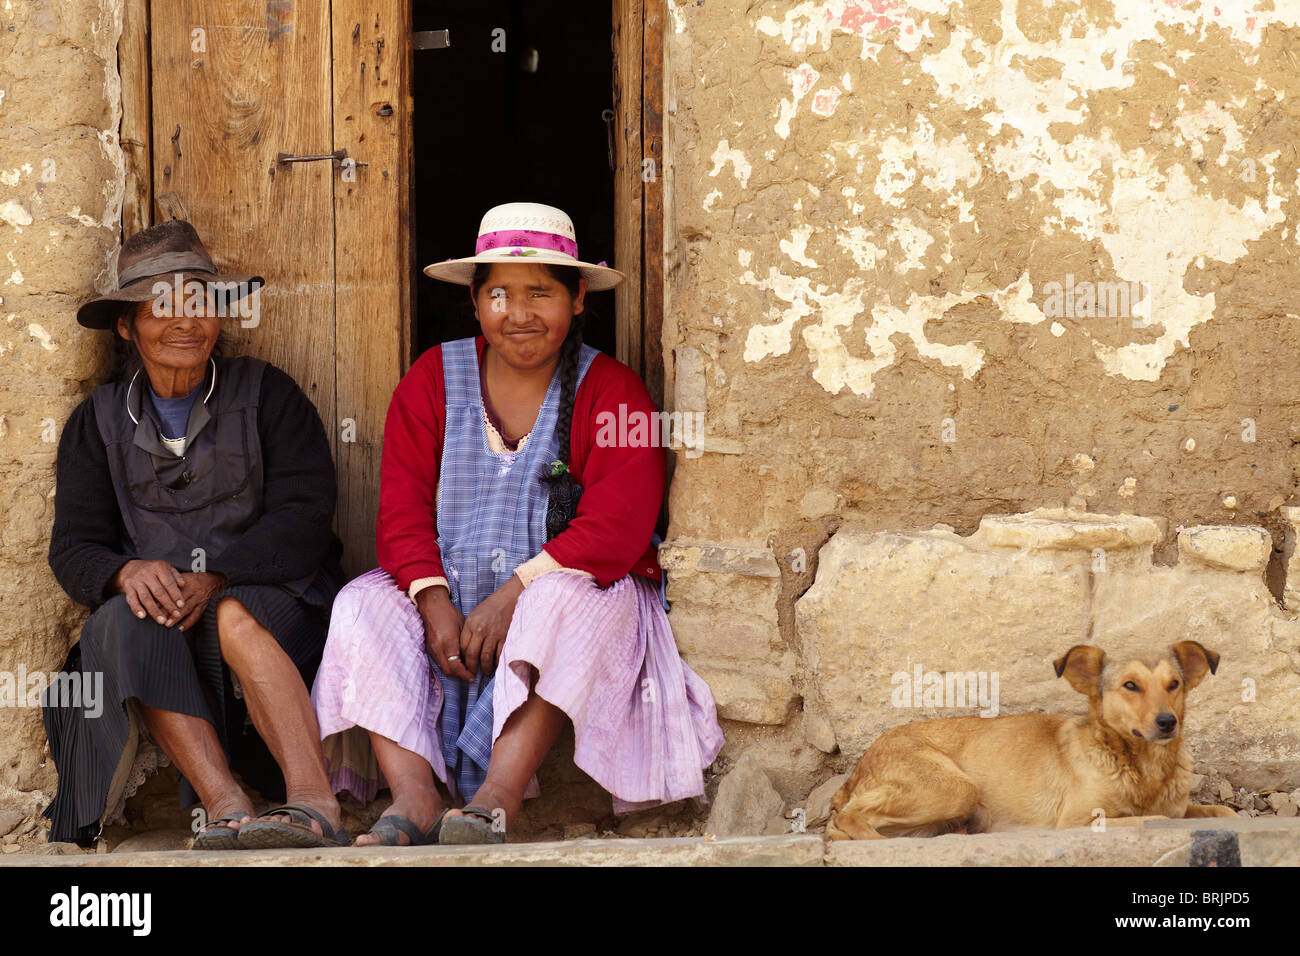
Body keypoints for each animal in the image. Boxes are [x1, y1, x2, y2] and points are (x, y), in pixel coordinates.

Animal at [826, 642, 1232, 837]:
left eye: (1174, 684)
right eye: (1131, 686)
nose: (1168, 723)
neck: (1142, 766)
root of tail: (858, 767)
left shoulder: (1181, 806)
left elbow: (1222, 811)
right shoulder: (1077, 820)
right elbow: (1150, 819)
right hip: (955, 787)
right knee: (848, 819)